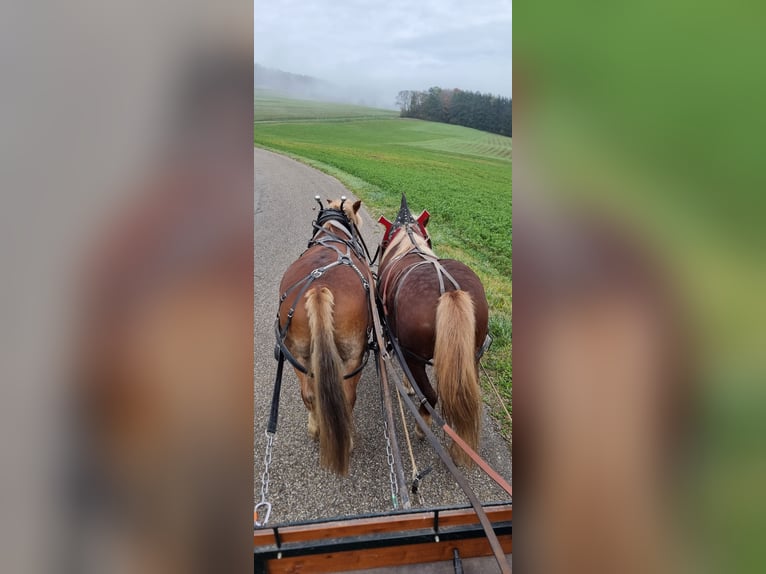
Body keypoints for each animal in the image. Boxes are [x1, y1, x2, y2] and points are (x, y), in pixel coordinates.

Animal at [276, 197, 372, 475]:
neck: (334, 231)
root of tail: (319, 288)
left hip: (297, 355)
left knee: (309, 394)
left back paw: (315, 429)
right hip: (353, 356)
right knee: (347, 397)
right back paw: (345, 440)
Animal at [377, 195, 490, 465]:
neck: (407, 242)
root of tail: (449, 290)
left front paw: (407, 386)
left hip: (414, 356)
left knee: (429, 394)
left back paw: (421, 427)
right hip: (473, 356)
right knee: (468, 400)